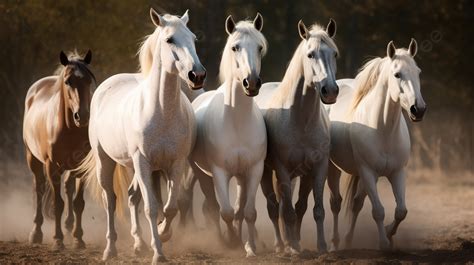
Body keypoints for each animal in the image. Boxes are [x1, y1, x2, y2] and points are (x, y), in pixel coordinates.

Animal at [22, 50, 95, 249]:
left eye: (89, 80)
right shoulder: (52, 167)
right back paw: (36, 233)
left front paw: (78, 239)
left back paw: (69, 228)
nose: (82, 116)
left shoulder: (82, 167)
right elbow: (58, 204)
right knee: (38, 189)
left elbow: (78, 203)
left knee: (68, 188)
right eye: (68, 81)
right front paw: (57, 240)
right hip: (33, 159)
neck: (69, 129)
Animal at [78, 8, 206, 262]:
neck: (162, 112)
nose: (196, 75)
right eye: (170, 39)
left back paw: (139, 244)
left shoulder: (175, 164)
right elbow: (151, 207)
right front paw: (159, 253)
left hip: (136, 168)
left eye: (193, 38)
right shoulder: (143, 162)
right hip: (106, 162)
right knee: (111, 200)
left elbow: (170, 207)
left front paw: (163, 233)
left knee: (131, 197)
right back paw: (110, 249)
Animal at [189, 14, 266, 256]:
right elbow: (226, 212)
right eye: (235, 47)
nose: (252, 82)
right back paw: (222, 240)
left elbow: (248, 212)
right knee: (213, 208)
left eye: (259, 47)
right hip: (202, 173)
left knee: (239, 209)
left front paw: (250, 248)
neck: (237, 122)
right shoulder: (219, 172)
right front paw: (231, 242)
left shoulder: (253, 170)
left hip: (240, 177)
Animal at [254, 20, 338, 252]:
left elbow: (313, 210)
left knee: (294, 206)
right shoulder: (282, 169)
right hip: (267, 174)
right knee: (274, 207)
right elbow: (288, 212)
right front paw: (292, 247)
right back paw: (281, 244)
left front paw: (320, 246)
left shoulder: (317, 169)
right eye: (310, 54)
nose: (330, 91)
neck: (301, 121)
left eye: (334, 54)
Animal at [326, 38, 426, 249]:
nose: (418, 109)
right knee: (336, 203)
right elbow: (378, 211)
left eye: (418, 72)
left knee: (356, 204)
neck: (383, 130)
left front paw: (389, 233)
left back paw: (348, 240)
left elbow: (401, 211)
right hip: (334, 168)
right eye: (397, 74)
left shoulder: (397, 172)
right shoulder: (368, 172)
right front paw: (383, 243)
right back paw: (335, 242)